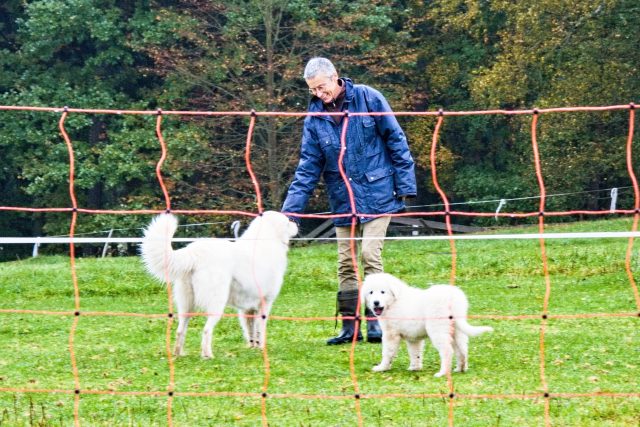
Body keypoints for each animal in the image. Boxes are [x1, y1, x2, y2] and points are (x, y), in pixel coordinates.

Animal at [140, 212, 298, 360]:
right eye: (288, 221)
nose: (296, 223)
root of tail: (194, 252)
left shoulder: (247, 309)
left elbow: (250, 329)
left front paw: (252, 346)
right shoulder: (265, 303)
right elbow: (260, 329)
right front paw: (261, 348)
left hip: (186, 304)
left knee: (180, 330)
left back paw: (179, 354)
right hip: (217, 302)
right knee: (206, 330)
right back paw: (208, 355)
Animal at [362, 274, 492, 378]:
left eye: (383, 292)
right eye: (371, 292)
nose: (376, 302)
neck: (394, 302)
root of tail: (453, 300)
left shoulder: (390, 334)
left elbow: (387, 352)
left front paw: (382, 367)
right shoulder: (413, 337)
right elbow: (415, 353)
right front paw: (415, 367)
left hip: (437, 329)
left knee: (447, 351)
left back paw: (442, 373)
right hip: (456, 329)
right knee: (462, 349)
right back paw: (460, 368)